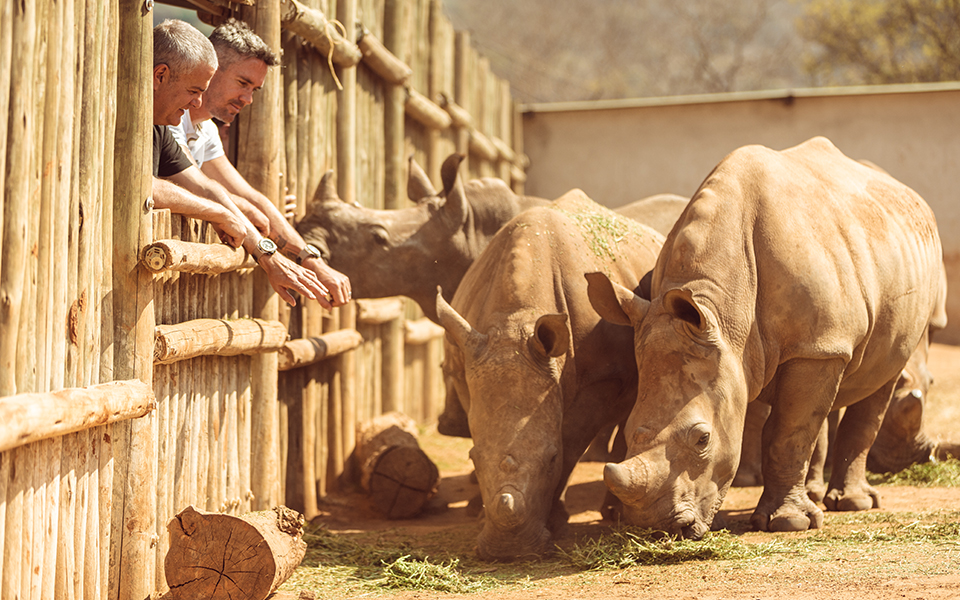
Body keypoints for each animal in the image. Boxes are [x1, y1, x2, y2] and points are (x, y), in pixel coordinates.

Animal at [437, 190, 663, 560]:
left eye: (550, 459)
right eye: (472, 458)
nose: (508, 552)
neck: (514, 321)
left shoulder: (598, 380)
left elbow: (570, 444)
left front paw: (556, 522)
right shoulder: (468, 365)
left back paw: (614, 513)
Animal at [587, 137, 944, 537]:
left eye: (703, 439)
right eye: (631, 432)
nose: (657, 528)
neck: (721, 306)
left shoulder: (814, 348)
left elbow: (788, 432)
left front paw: (788, 523)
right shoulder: (736, 348)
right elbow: (765, 415)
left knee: (880, 377)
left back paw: (853, 504)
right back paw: (817, 495)